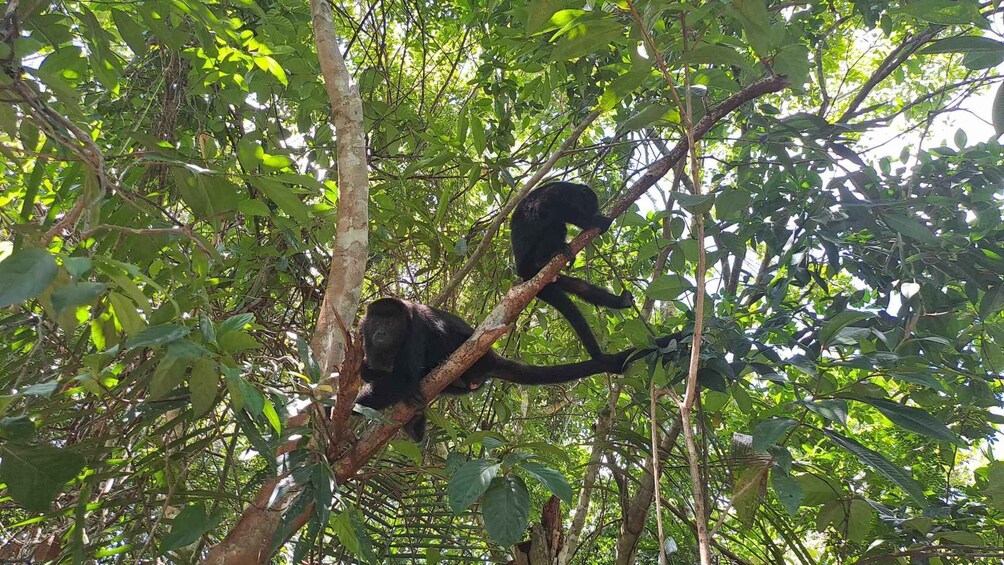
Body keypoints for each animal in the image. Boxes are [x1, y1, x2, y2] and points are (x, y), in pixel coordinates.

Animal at [355, 299, 634, 439]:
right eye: (377, 321)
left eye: (390, 323)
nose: (380, 333)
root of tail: (488, 357)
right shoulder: (362, 332)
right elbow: (371, 372)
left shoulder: (415, 330)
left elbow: (403, 377)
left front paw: (351, 406)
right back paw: (415, 421)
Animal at [514, 181, 630, 357]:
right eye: (590, 207)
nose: (597, 212)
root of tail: (525, 274)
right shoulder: (559, 192)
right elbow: (548, 205)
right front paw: (597, 221)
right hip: (530, 261)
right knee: (555, 224)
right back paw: (547, 258)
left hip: (553, 280)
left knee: (581, 287)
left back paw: (621, 301)